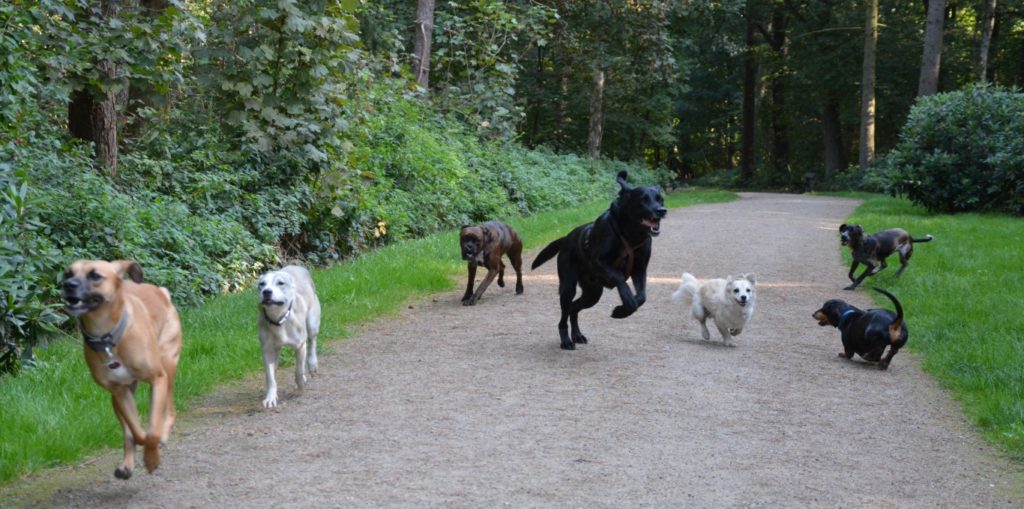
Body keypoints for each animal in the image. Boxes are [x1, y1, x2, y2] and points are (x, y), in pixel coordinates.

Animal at [61, 260, 182, 477]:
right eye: (68, 273)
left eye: (95, 275)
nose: (68, 285)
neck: (108, 337)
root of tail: (161, 293)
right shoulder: (119, 391)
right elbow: (137, 432)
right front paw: (145, 452)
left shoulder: (158, 379)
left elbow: (151, 432)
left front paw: (152, 459)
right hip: (117, 398)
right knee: (128, 432)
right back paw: (127, 464)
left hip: (168, 366)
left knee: (169, 411)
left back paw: (162, 435)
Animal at [256, 264, 319, 407]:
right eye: (262, 284)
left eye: (280, 283)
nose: (266, 291)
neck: (279, 320)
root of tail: (297, 266)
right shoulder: (267, 350)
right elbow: (270, 377)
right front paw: (270, 397)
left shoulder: (300, 345)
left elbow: (298, 370)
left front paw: (300, 385)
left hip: (312, 323)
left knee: (312, 341)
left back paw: (312, 364)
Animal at [532, 171, 667, 348]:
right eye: (643, 199)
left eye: (660, 199)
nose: (662, 210)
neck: (630, 235)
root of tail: (566, 238)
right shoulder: (599, 261)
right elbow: (620, 280)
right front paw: (626, 304)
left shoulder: (640, 269)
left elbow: (642, 296)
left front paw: (623, 310)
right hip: (568, 287)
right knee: (564, 315)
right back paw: (566, 340)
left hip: (593, 293)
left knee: (573, 309)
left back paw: (577, 335)